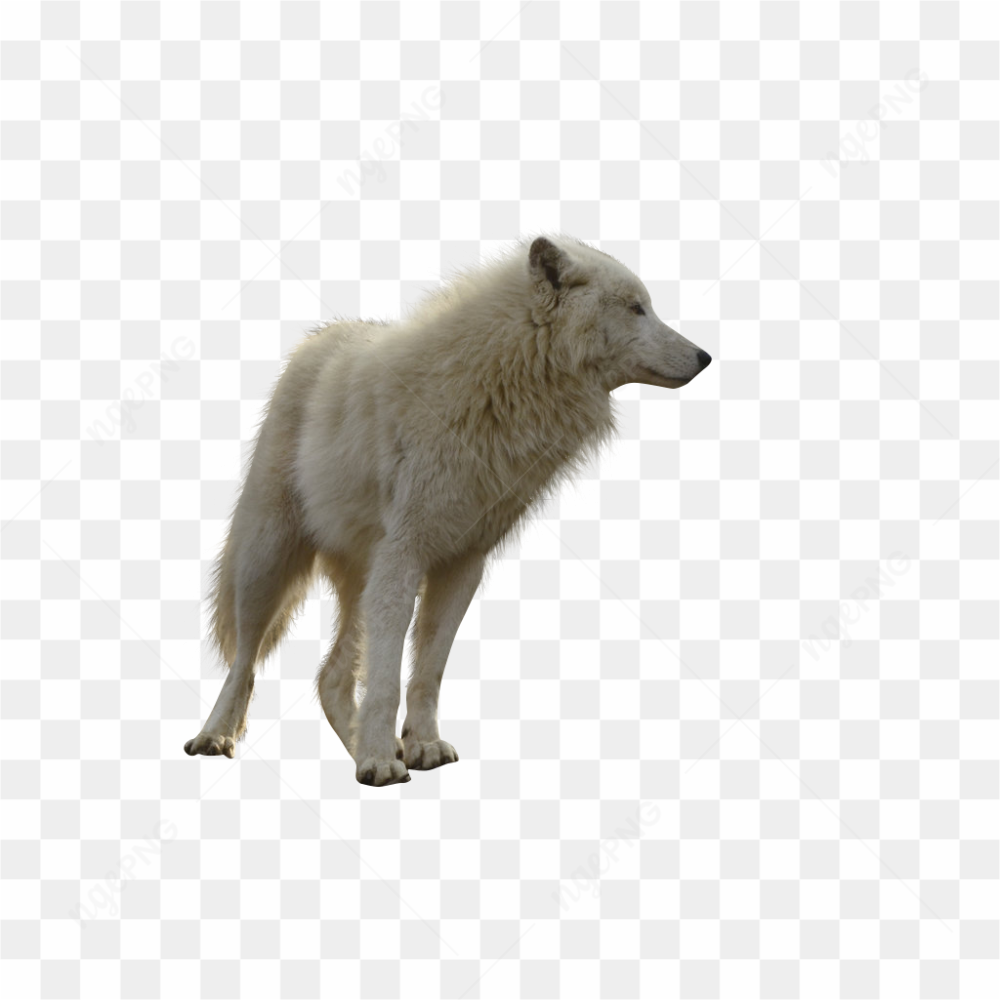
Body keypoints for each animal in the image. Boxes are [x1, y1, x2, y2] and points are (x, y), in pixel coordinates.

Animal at [184, 235, 711, 785]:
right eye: (636, 308)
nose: (706, 356)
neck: (500, 382)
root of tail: (320, 338)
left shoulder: (463, 561)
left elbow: (428, 670)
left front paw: (417, 747)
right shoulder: (405, 554)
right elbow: (387, 677)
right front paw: (381, 760)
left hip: (361, 579)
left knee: (330, 676)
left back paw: (360, 748)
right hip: (267, 560)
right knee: (245, 660)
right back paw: (215, 737)